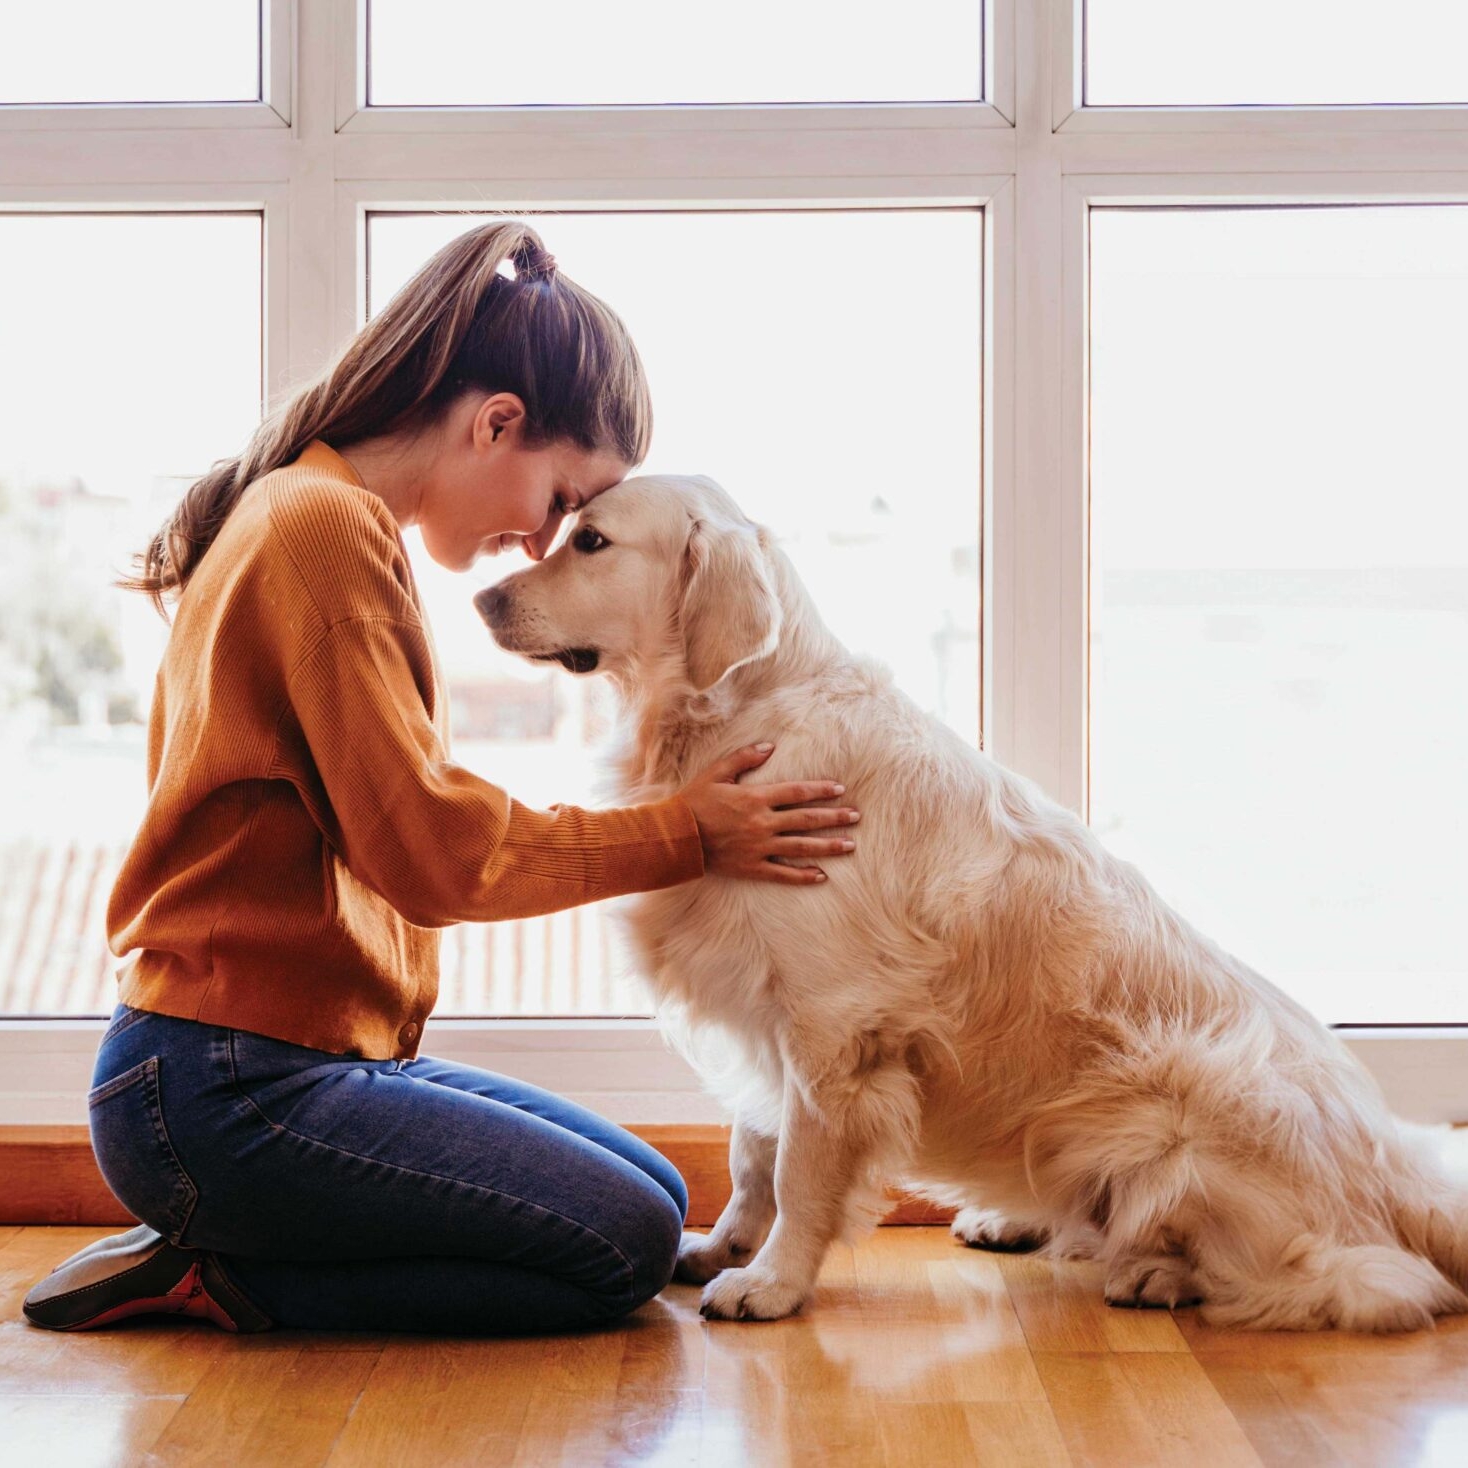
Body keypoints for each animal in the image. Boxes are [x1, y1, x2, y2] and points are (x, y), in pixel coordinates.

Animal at [472, 472, 1468, 1332]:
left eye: (591, 541)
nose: (481, 601)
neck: (735, 716)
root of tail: (1393, 1162)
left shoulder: (831, 1025)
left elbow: (797, 1170)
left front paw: (771, 1284)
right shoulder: (764, 1011)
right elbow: (751, 1155)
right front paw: (724, 1245)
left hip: (1190, 1100)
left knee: (1360, 1279)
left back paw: (1159, 1272)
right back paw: (1021, 1222)